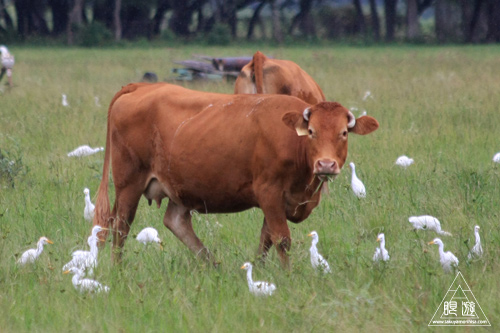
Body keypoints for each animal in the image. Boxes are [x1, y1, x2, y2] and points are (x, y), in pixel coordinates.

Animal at [93, 83, 378, 268]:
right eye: (311, 132)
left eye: (343, 133)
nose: (326, 164)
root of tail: (142, 86)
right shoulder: (269, 192)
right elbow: (281, 239)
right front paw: (287, 275)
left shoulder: (279, 201)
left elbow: (265, 239)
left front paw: (260, 271)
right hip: (129, 184)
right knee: (121, 227)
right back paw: (118, 269)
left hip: (179, 187)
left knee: (175, 221)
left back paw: (212, 265)